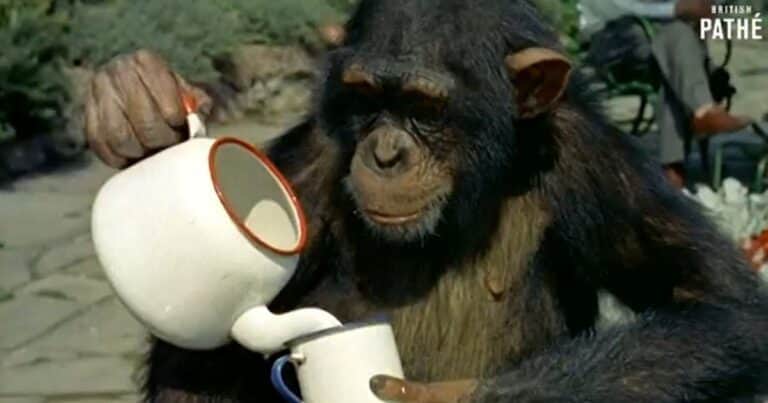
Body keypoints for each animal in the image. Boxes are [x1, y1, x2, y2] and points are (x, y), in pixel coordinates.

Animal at [83, 0, 768, 402]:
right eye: (368, 100)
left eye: (423, 109)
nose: (386, 153)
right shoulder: (312, 160)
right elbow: (200, 371)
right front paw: (138, 106)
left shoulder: (591, 155)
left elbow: (719, 306)